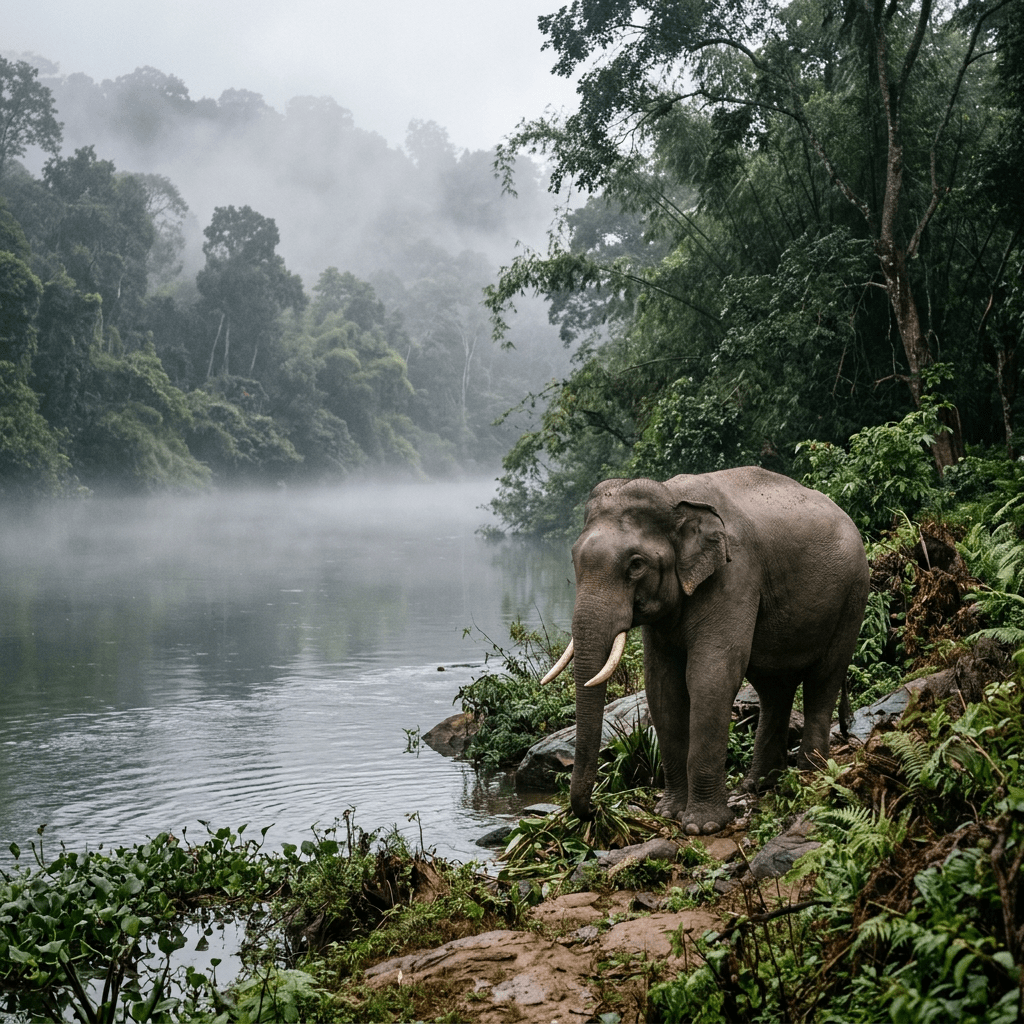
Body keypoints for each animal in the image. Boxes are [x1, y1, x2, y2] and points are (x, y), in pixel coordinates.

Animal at [540, 466, 870, 835]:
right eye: (573, 558)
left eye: (636, 564)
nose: (594, 812)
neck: (674, 496)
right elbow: (662, 685)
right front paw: (669, 812)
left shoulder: (734, 574)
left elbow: (711, 675)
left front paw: (703, 826)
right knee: (774, 689)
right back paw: (759, 785)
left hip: (853, 596)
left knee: (824, 678)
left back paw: (810, 774)